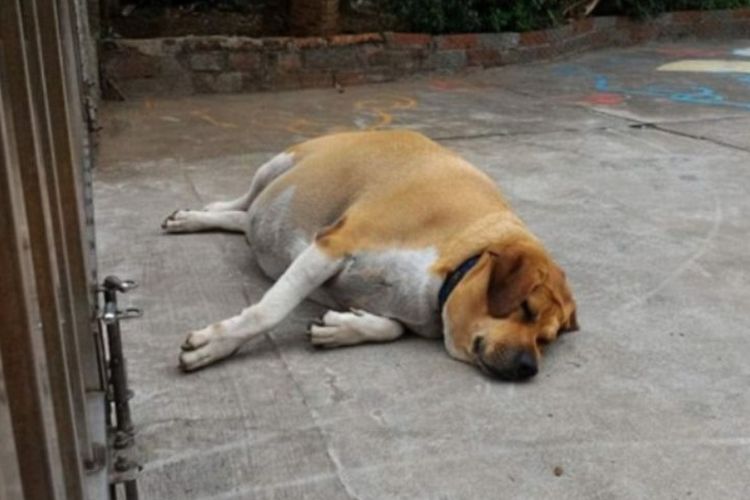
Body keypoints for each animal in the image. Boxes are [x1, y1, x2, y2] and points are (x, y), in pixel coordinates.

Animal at [162, 129, 580, 378]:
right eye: (525, 308)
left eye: (546, 339)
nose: (529, 367)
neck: (461, 254)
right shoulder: (331, 246)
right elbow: (268, 311)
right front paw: (216, 344)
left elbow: (392, 328)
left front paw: (342, 327)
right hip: (279, 165)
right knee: (243, 202)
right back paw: (197, 215)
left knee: (244, 218)